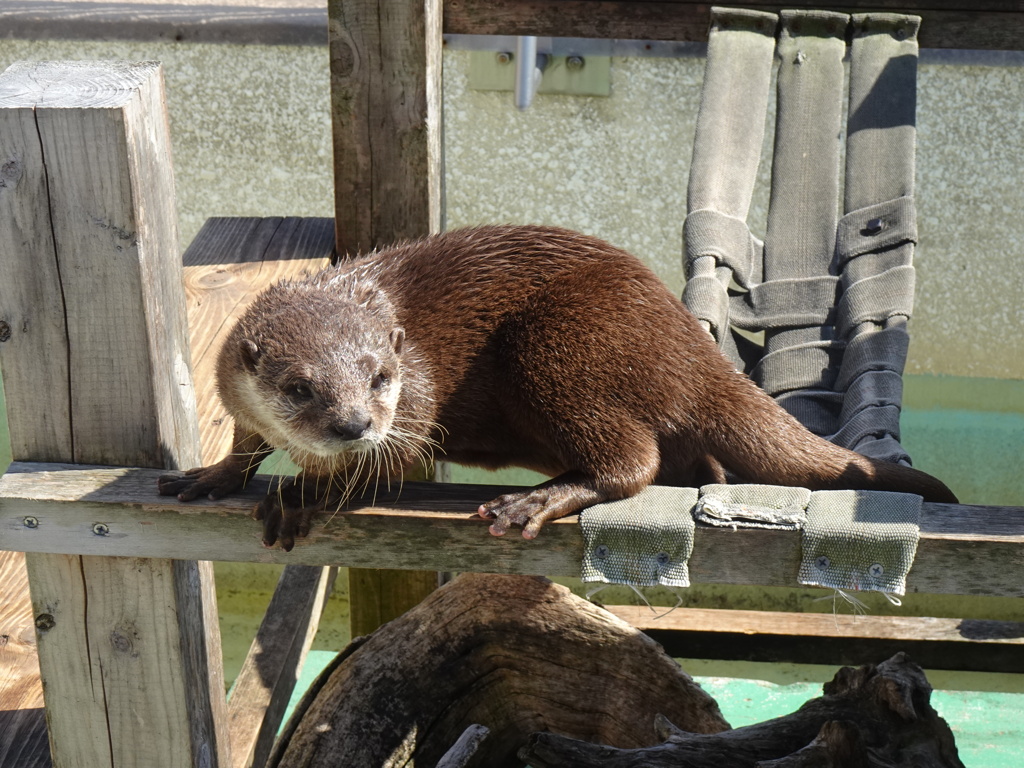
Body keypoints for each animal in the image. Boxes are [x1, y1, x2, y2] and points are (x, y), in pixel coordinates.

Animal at [155, 221, 954, 548]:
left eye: (380, 378)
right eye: (299, 388)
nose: (353, 425)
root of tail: (690, 345)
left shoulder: (415, 405)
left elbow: (389, 465)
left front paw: (302, 495)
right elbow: (246, 440)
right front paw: (211, 474)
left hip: (562, 344)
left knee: (636, 461)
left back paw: (534, 501)